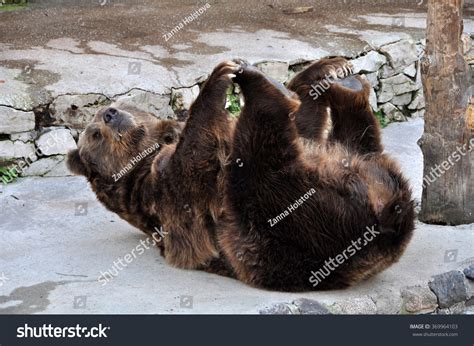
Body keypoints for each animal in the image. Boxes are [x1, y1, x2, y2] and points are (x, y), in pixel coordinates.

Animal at [66, 58, 414, 290]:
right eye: (94, 135)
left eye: (112, 106)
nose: (110, 114)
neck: (149, 152)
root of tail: (390, 214)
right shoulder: (162, 192)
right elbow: (190, 168)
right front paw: (217, 79)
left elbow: (305, 124)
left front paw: (320, 70)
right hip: (287, 226)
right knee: (261, 162)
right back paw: (263, 87)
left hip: (351, 175)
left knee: (356, 141)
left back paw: (346, 84)